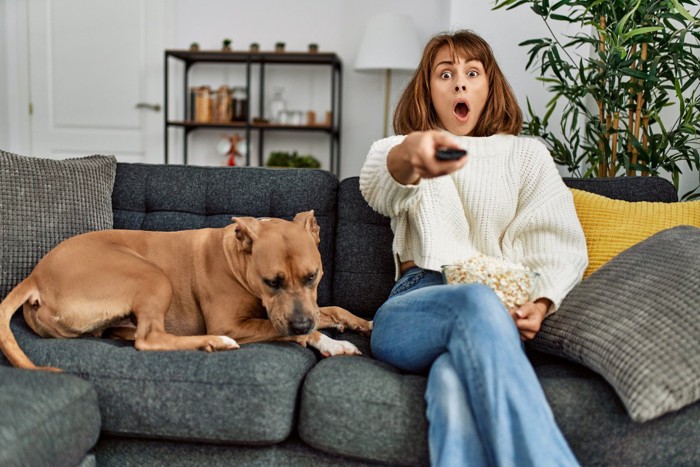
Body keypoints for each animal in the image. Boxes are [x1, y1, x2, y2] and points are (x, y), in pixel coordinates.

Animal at [0, 212, 372, 372]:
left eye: (313, 276)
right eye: (271, 282)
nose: (300, 323)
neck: (238, 257)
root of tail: (35, 276)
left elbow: (330, 310)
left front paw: (361, 323)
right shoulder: (234, 323)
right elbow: (286, 329)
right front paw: (331, 342)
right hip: (152, 276)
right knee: (149, 339)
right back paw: (214, 343)